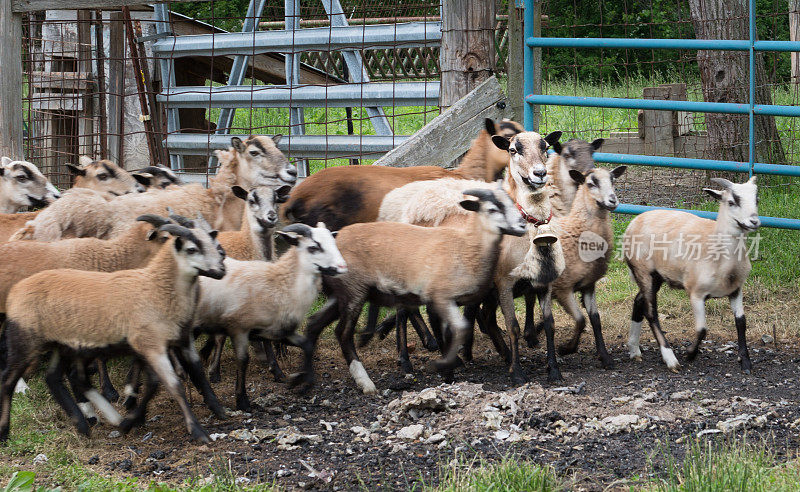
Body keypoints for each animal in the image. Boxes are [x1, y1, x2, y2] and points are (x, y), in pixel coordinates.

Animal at [0, 219, 227, 442]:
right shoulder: (151, 345)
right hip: (26, 340)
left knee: (55, 378)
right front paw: (198, 431)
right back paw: (5, 430)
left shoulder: (176, 341)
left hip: (63, 345)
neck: (155, 286)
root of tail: (16, 292)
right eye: (191, 249)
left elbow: (188, 373)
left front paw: (217, 408)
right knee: (8, 380)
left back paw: (86, 423)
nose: (222, 265)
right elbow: (173, 385)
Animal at [193, 223, 346, 412]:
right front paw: (242, 400)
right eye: (313, 247)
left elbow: (307, 345)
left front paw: (301, 380)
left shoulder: (276, 330)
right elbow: (243, 361)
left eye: (333, 241)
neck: (280, 282)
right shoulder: (239, 328)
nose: (342, 267)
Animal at [290, 186, 528, 394]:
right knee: (343, 333)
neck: (467, 245)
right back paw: (365, 382)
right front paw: (443, 366)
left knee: (314, 324)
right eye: (493, 209)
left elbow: (452, 332)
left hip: (341, 294)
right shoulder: (440, 297)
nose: (523, 225)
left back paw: (306, 380)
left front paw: (449, 371)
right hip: (354, 291)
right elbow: (459, 329)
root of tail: (335, 241)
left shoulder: (448, 300)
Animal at [620, 177, 760, 372]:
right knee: (650, 311)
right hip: (643, 270)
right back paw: (670, 358)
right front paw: (690, 354)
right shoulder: (696, 293)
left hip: (656, 276)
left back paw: (634, 349)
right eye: (732, 202)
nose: (754, 221)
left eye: (757, 200)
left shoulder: (735, 290)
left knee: (639, 301)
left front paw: (745, 362)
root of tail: (633, 222)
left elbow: (741, 323)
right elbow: (702, 329)